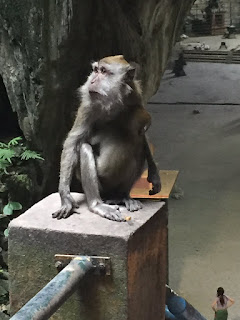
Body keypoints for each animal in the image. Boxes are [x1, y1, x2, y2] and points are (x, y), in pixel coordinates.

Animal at [53, 54, 161, 222]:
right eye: (96, 70)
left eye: (103, 71)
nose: (91, 81)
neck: (114, 102)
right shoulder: (88, 106)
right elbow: (74, 142)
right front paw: (65, 197)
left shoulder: (135, 95)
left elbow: (142, 136)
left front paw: (154, 174)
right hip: (101, 186)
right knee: (85, 148)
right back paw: (97, 204)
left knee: (137, 146)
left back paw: (123, 196)